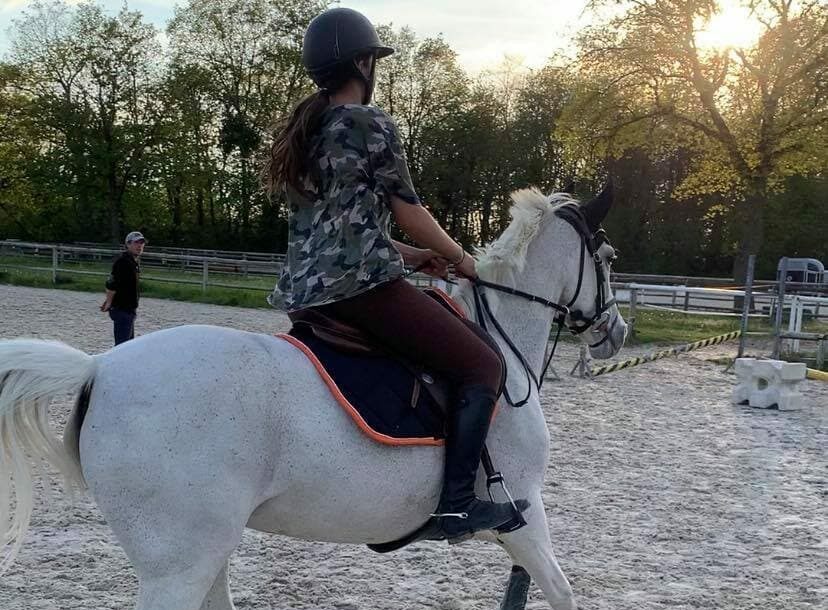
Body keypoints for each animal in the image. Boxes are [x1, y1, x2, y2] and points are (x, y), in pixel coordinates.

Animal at [0, 186, 620, 608]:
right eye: (609, 258)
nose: (615, 331)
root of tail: (99, 367)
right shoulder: (523, 512)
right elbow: (562, 592)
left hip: (206, 550)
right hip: (177, 564)